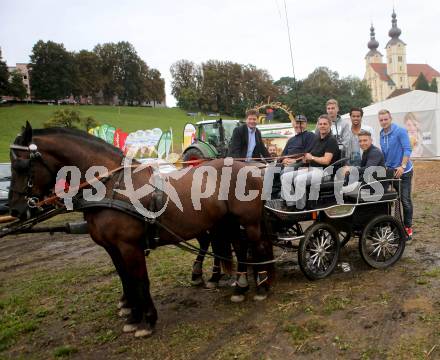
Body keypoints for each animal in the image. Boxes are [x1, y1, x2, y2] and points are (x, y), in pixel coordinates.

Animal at [8, 123, 274, 338]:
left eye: (21, 165)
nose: (15, 209)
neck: (111, 187)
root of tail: (253, 169)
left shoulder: (129, 246)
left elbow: (140, 281)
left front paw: (148, 320)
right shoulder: (112, 248)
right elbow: (126, 280)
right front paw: (133, 315)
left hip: (249, 222)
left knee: (258, 247)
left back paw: (262, 286)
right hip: (227, 222)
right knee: (240, 248)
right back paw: (240, 286)